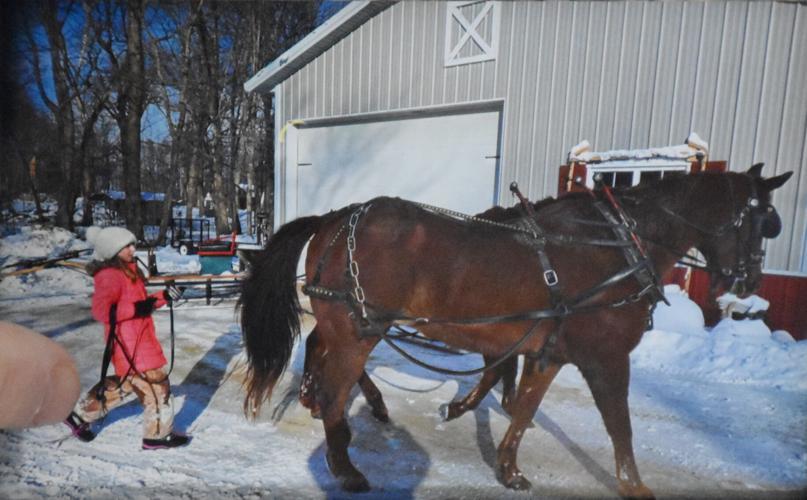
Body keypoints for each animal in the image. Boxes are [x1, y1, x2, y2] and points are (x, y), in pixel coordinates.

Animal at [239, 164, 791, 498]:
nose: (748, 282)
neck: (618, 248)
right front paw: (635, 487)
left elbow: (524, 408)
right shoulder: (606, 357)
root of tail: (337, 217)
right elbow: (620, 426)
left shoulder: (549, 351)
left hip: (351, 325)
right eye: (765, 222)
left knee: (322, 357)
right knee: (336, 391)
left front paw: (507, 466)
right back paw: (345, 464)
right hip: (358, 328)